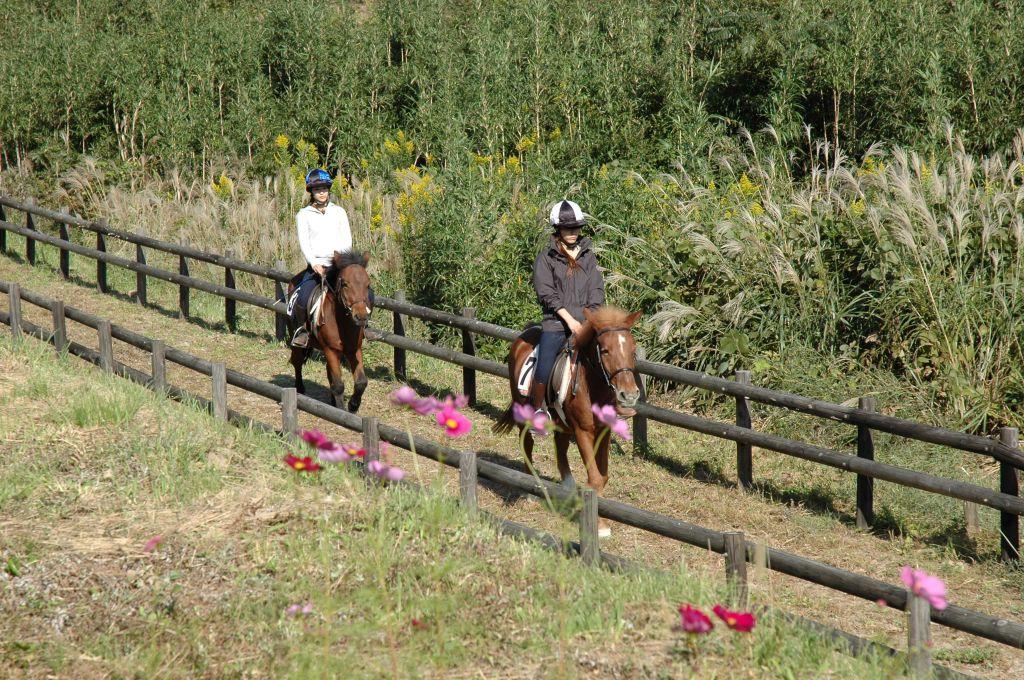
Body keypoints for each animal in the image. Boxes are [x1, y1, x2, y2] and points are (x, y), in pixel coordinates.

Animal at [288, 248, 372, 411]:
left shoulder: (354, 349)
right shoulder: (330, 350)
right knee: (297, 362)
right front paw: (341, 410)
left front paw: (353, 405)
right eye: (345, 284)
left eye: (367, 285)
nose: (361, 316)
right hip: (297, 341)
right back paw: (299, 389)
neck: (342, 322)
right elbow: (338, 385)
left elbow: (361, 382)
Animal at [495, 307, 638, 536]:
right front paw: (598, 525)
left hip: (562, 423)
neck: (592, 386)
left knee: (560, 450)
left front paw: (600, 519)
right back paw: (530, 491)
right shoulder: (583, 431)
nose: (629, 395)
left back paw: (568, 491)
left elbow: (602, 476)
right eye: (605, 351)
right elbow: (595, 478)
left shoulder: (604, 431)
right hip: (524, 413)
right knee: (527, 445)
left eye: (633, 351)